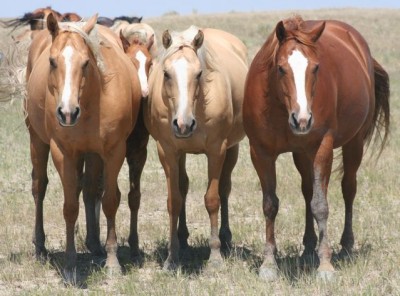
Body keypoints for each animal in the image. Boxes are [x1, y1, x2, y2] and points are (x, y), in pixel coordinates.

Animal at [24, 13, 141, 282]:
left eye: (86, 62)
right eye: (52, 61)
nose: (67, 113)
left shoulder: (113, 151)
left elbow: (109, 200)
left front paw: (112, 260)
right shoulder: (63, 153)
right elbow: (70, 207)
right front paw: (70, 265)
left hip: (92, 154)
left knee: (88, 190)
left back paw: (95, 245)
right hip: (37, 140)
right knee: (39, 187)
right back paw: (40, 247)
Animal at [145, 26, 248, 270]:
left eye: (199, 74)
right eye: (166, 73)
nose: (183, 124)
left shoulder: (216, 150)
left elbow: (213, 200)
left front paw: (215, 256)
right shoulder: (167, 151)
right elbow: (174, 200)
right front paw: (171, 257)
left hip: (233, 149)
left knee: (225, 189)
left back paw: (225, 238)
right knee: (183, 187)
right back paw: (182, 239)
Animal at [242, 16, 390, 282]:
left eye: (316, 68)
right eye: (281, 68)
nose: (302, 119)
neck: (279, 108)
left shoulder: (323, 148)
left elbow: (321, 206)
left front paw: (326, 265)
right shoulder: (260, 152)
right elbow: (270, 205)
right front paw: (269, 264)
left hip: (354, 144)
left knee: (348, 189)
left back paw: (346, 245)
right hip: (302, 154)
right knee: (307, 191)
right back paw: (309, 247)